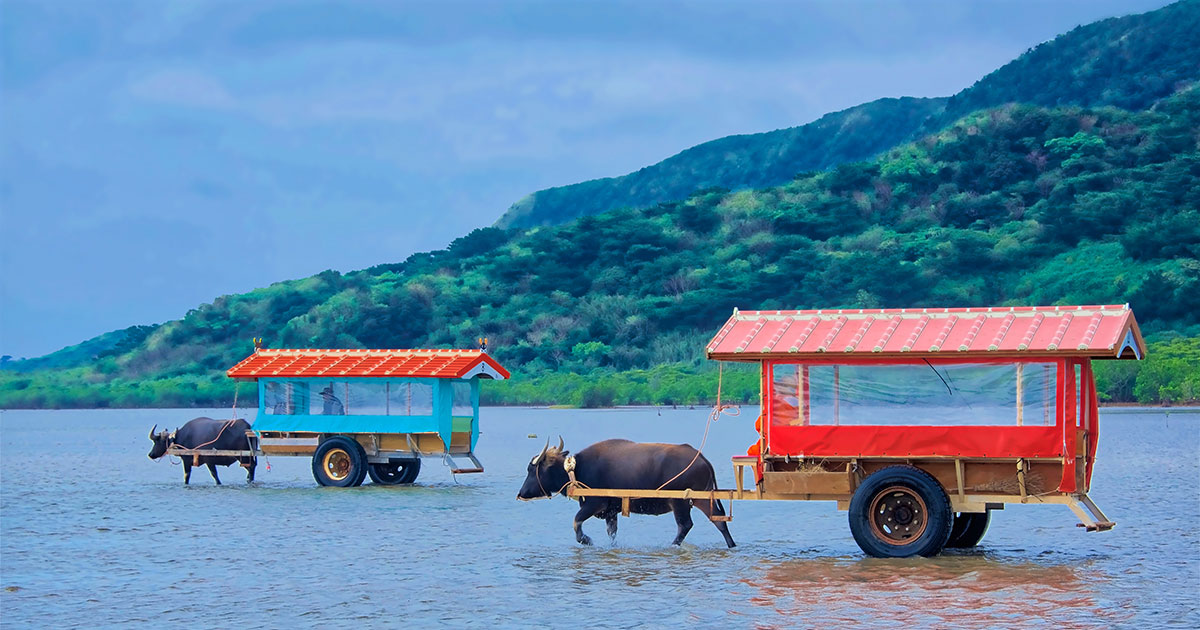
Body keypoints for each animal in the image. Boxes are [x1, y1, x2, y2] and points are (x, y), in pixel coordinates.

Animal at [516, 436, 729, 544]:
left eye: (531, 470)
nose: (521, 493)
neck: (577, 470)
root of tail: (701, 457)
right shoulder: (611, 511)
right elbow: (612, 534)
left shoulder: (595, 503)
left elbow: (576, 522)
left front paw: (586, 539)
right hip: (702, 499)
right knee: (719, 520)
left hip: (680, 502)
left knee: (685, 525)